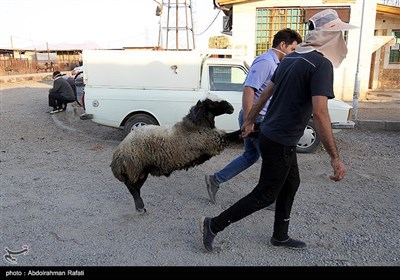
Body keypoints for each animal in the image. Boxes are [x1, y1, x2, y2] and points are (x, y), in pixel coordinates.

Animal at [109, 95, 241, 213]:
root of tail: (118, 155)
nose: (231, 107)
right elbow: (235, 135)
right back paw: (140, 205)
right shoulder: (214, 142)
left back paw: (139, 206)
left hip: (142, 171)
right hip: (135, 168)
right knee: (130, 186)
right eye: (212, 104)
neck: (196, 126)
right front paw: (246, 129)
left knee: (135, 187)